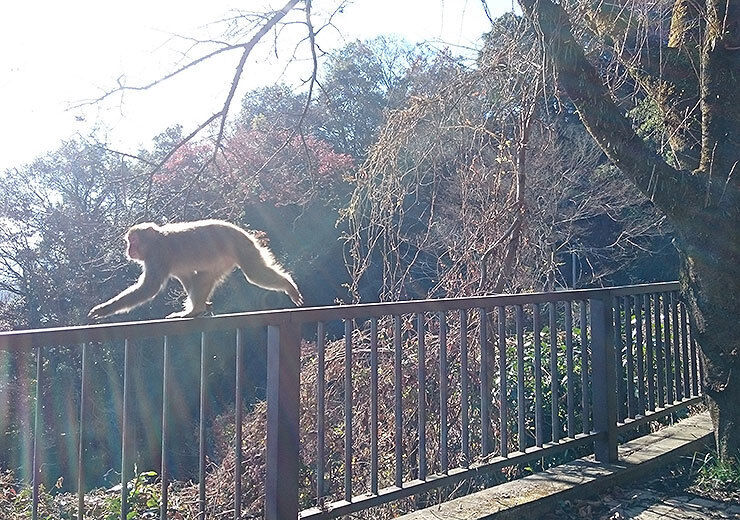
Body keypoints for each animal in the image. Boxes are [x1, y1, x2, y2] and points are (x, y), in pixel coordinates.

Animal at [88, 219, 303, 320]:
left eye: (133, 241)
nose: (129, 250)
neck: (156, 240)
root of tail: (245, 234)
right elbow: (186, 277)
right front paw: (205, 305)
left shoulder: (157, 256)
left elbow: (149, 288)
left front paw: (104, 309)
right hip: (225, 259)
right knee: (204, 277)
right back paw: (196, 309)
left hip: (242, 247)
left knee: (254, 274)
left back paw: (287, 285)